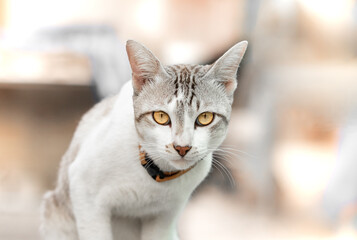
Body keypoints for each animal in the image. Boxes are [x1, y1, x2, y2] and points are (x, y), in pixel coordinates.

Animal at [40, 39, 248, 240]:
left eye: (205, 118)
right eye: (161, 117)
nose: (182, 147)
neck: (157, 174)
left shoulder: (164, 217)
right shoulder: (85, 191)